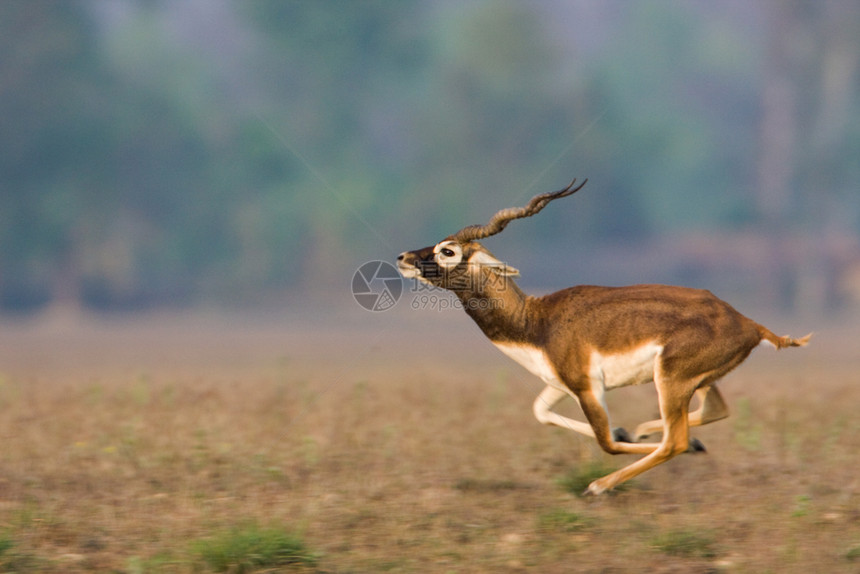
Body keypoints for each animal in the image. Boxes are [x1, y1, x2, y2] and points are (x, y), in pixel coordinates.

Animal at [398, 180, 812, 496]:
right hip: (698, 381)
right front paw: (627, 428)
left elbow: (606, 442)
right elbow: (540, 413)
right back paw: (660, 435)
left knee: (673, 441)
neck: (536, 321)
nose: (403, 257)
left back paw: (603, 484)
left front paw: (605, 466)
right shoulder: (559, 384)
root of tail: (751, 324)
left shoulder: (586, 386)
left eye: (448, 250)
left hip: (671, 380)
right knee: (712, 412)